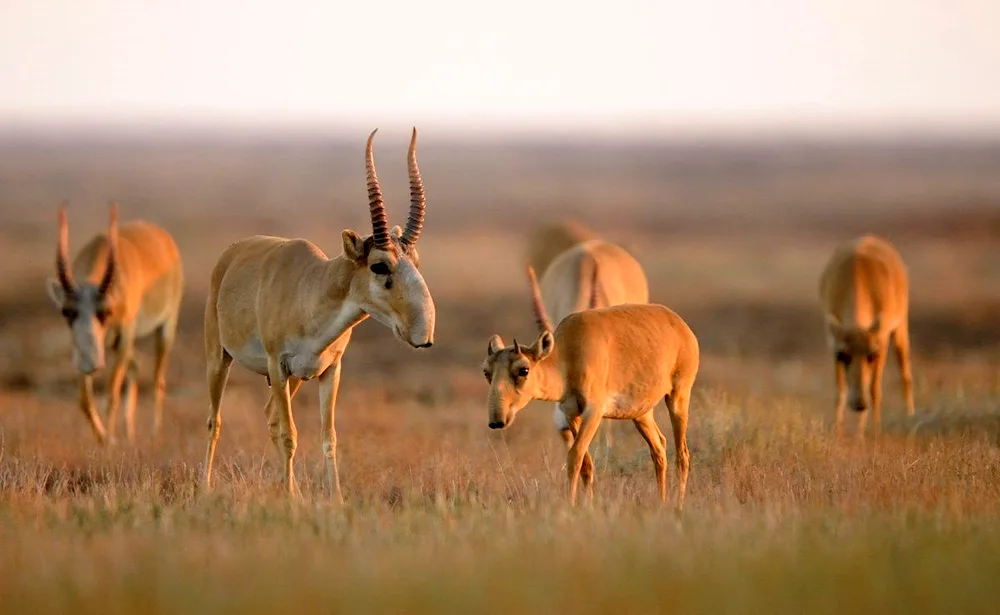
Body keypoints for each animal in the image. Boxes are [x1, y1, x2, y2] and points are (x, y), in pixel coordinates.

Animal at [45, 205, 187, 446]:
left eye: (106, 311)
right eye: (66, 311)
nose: (92, 364)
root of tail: (163, 237)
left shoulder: (124, 336)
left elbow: (111, 394)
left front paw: (110, 441)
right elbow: (84, 399)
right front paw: (103, 439)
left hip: (165, 328)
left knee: (158, 379)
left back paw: (154, 434)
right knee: (137, 363)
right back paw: (129, 433)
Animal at [201, 129, 436, 500]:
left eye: (415, 260)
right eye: (379, 265)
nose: (423, 332)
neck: (312, 290)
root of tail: (231, 255)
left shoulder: (330, 371)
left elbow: (329, 438)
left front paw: (333, 498)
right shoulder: (277, 366)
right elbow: (290, 434)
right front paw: (292, 499)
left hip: (295, 378)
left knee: (269, 417)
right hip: (220, 359)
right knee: (215, 420)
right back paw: (205, 487)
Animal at [480, 262, 700, 508]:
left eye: (523, 369)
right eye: (486, 371)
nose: (497, 421)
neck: (568, 354)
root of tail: (680, 325)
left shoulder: (593, 412)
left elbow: (575, 456)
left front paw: (571, 504)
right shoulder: (571, 413)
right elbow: (585, 463)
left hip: (678, 396)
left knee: (682, 453)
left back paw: (678, 503)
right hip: (641, 413)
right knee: (659, 448)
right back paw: (661, 501)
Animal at [820, 232, 916, 438]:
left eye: (872, 354)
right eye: (842, 355)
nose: (859, 404)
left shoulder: (882, 341)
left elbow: (874, 390)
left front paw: (874, 432)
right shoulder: (833, 342)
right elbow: (840, 391)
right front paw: (838, 432)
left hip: (901, 328)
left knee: (905, 374)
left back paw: (910, 417)